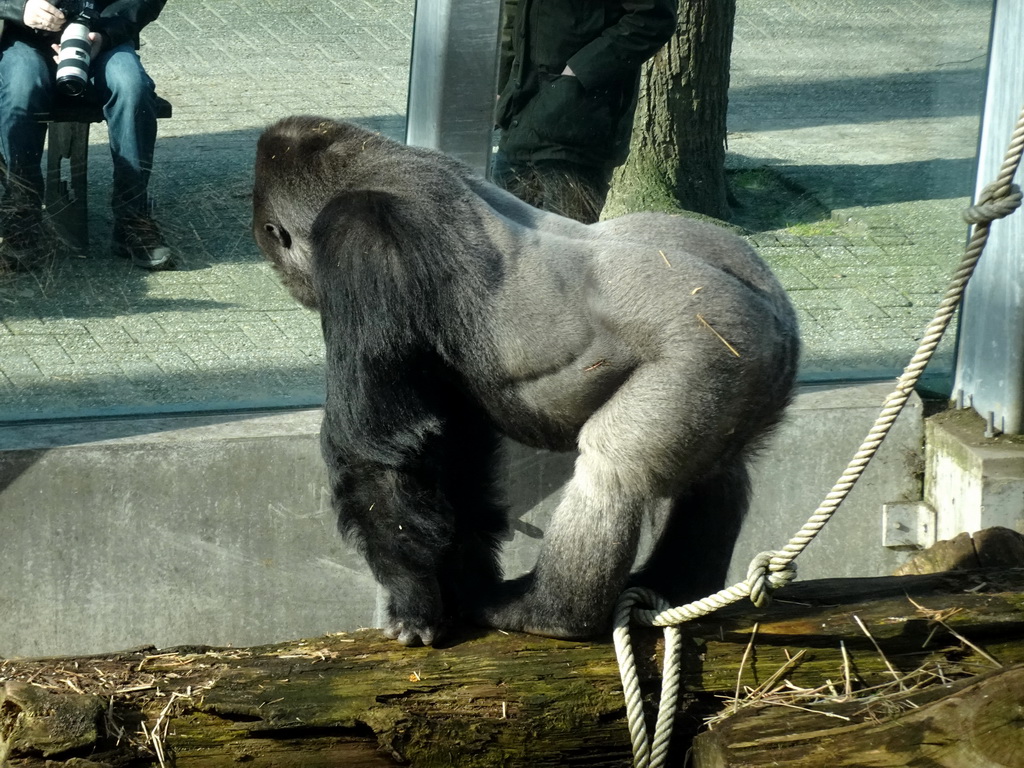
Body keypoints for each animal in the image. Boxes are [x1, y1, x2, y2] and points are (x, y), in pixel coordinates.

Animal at [253, 117, 798, 647]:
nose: (290, 283)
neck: (378, 163)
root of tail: (776, 314)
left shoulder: (360, 239)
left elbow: (376, 446)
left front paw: (413, 600)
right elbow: (457, 445)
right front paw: (459, 578)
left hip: (710, 349)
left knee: (612, 470)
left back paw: (553, 613)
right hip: (746, 365)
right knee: (718, 471)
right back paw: (678, 584)